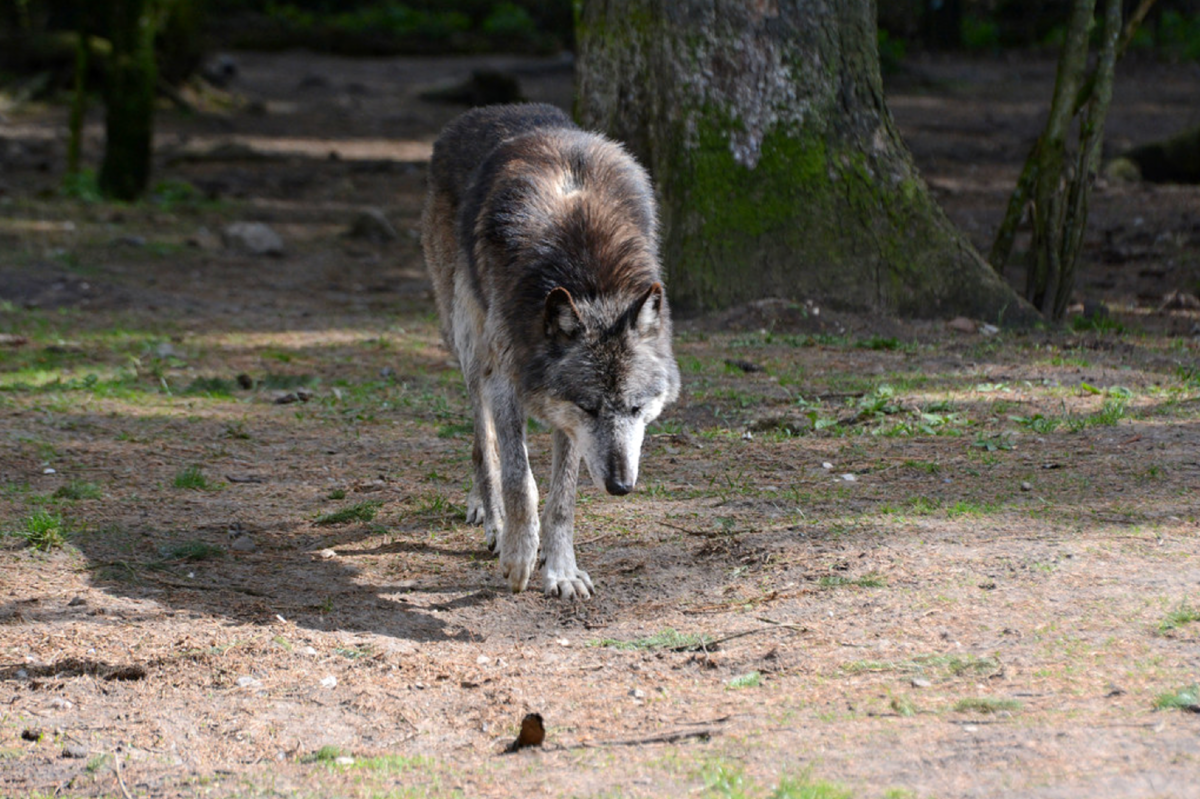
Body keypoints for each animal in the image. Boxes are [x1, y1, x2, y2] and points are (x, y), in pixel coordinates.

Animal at [422, 101, 681, 597]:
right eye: (590, 408)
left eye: (636, 409)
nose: (621, 486)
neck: (587, 273)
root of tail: (488, 112)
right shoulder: (513, 383)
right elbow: (520, 480)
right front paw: (519, 553)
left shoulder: (565, 418)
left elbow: (563, 498)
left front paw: (560, 569)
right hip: (470, 347)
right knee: (483, 444)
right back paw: (493, 519)